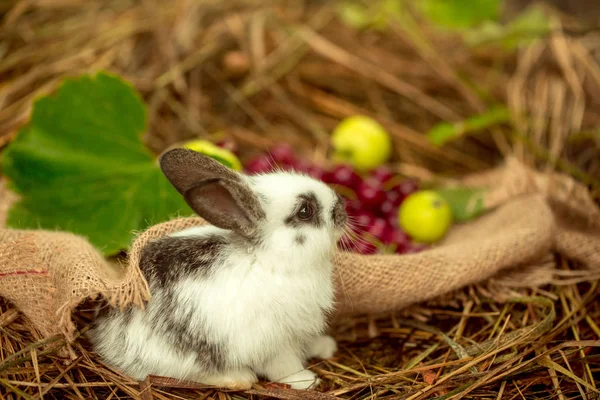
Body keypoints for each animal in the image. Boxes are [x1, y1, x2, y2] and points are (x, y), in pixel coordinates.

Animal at [88, 148, 346, 390]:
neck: (267, 259)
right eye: (305, 211)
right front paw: (307, 380)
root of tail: (107, 339)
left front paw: (325, 346)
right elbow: (284, 366)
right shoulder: (274, 342)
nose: (342, 207)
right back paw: (239, 378)